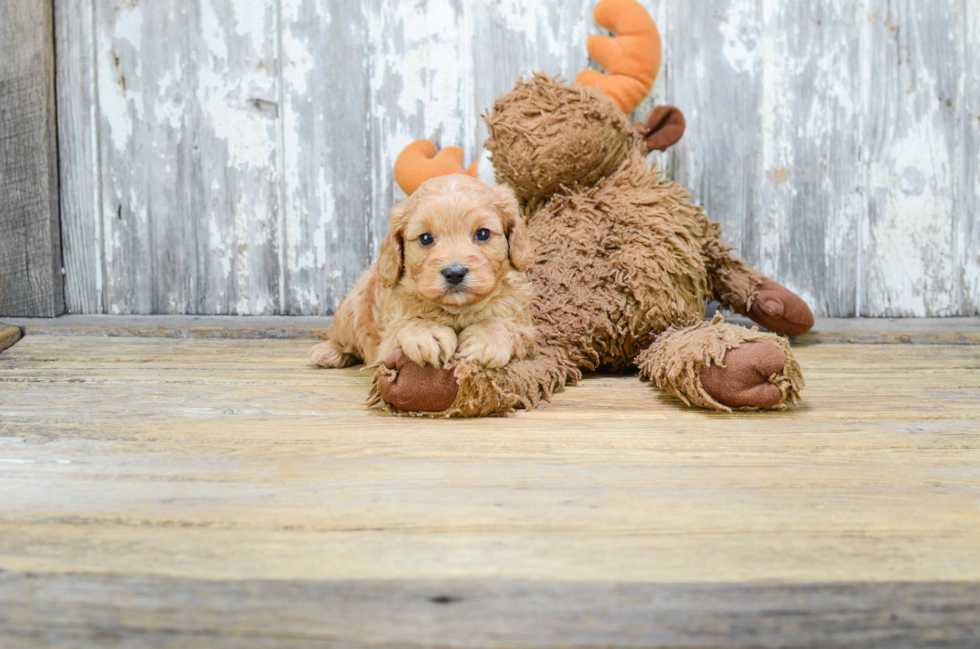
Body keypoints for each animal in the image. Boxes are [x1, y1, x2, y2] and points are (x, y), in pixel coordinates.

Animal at [310, 175, 536, 372]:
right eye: (426, 238)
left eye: (482, 234)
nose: (455, 273)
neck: (457, 310)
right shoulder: (386, 344)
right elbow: (408, 323)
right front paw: (428, 333)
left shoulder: (526, 328)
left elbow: (507, 325)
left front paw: (488, 338)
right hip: (352, 308)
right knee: (343, 339)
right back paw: (328, 352)